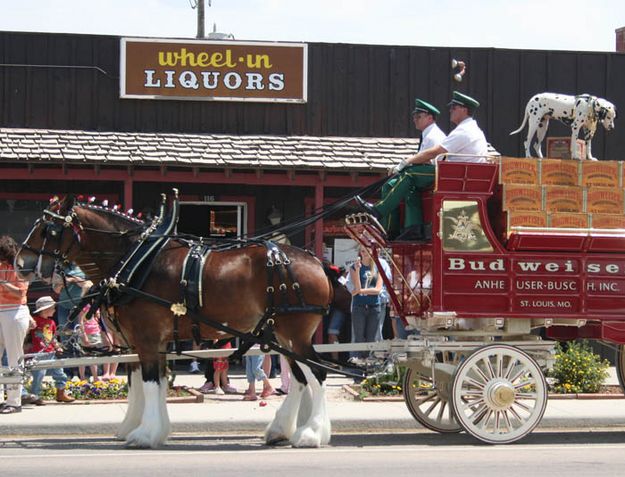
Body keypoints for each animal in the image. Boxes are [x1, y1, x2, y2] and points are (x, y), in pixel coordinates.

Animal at [17, 195, 334, 448]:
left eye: (48, 228)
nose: (20, 264)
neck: (136, 261)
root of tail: (315, 262)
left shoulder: (146, 338)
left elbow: (148, 383)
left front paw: (144, 434)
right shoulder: (141, 341)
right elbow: (144, 383)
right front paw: (139, 428)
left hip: (295, 334)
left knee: (317, 375)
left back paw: (311, 435)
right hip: (281, 336)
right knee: (300, 379)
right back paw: (282, 431)